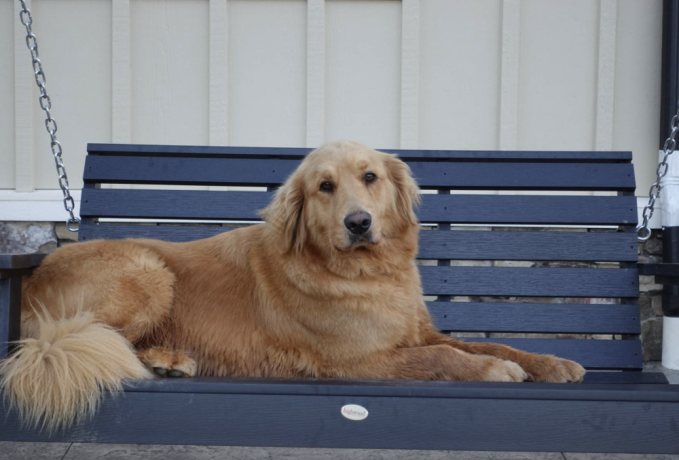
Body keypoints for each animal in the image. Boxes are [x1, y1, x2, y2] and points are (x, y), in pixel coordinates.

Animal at [0, 141, 584, 432]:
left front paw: (551, 363)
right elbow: (446, 358)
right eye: (324, 187)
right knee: (100, 337)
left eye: (370, 177)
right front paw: (493, 372)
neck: (366, 274)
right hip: (149, 271)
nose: (358, 223)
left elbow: (488, 343)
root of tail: (35, 274)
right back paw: (166, 358)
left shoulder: (415, 334)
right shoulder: (357, 361)